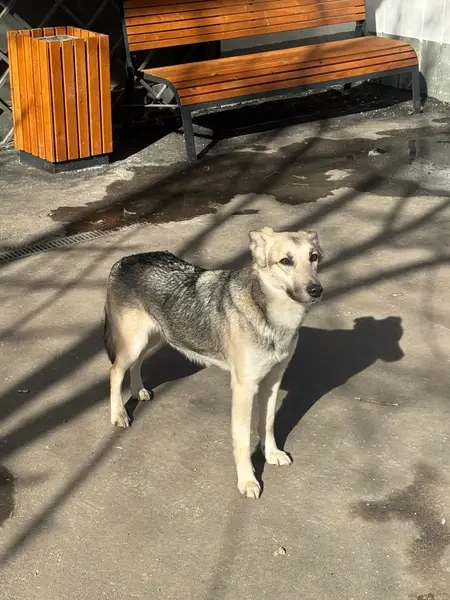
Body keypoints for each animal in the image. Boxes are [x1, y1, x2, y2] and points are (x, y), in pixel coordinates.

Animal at [104, 227, 324, 498]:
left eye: (313, 257)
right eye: (286, 261)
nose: (316, 290)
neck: (270, 315)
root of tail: (124, 260)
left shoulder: (272, 381)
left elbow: (268, 423)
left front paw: (271, 454)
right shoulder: (244, 389)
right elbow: (243, 441)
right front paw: (247, 481)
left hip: (156, 336)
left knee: (137, 364)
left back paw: (138, 391)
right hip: (134, 344)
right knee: (115, 372)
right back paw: (118, 414)